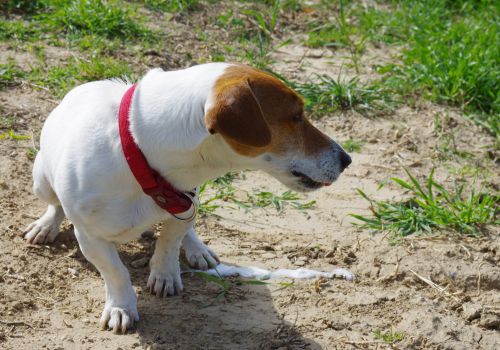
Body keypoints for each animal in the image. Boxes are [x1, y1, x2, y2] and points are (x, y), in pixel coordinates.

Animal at [23, 63, 352, 334]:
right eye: (295, 117)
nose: (347, 160)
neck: (139, 154)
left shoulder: (184, 202)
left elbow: (169, 243)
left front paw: (165, 274)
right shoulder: (90, 237)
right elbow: (115, 272)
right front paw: (121, 307)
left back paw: (198, 249)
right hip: (41, 179)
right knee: (54, 205)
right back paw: (46, 225)